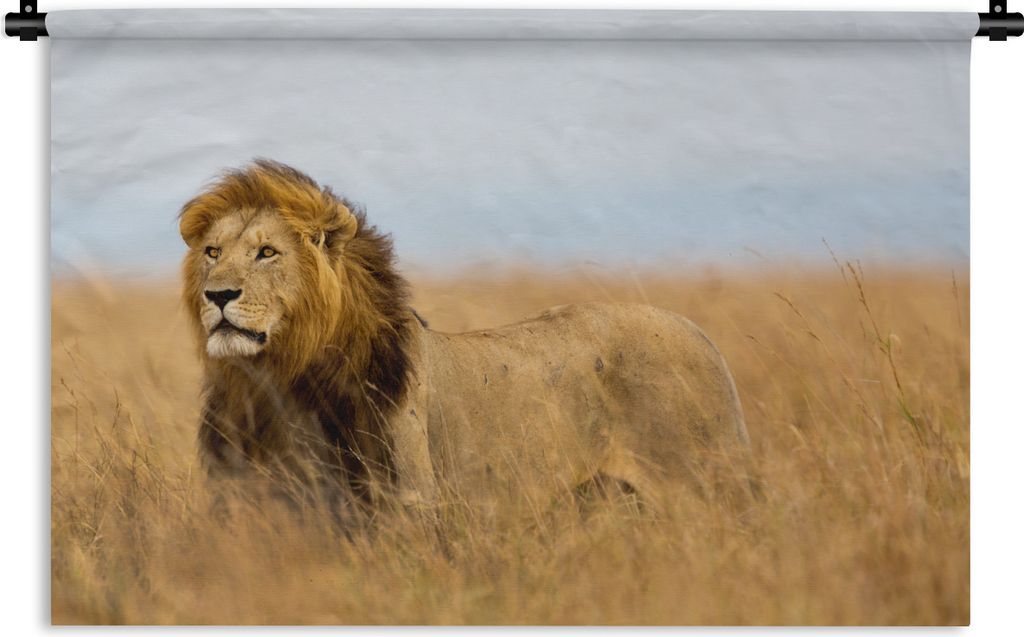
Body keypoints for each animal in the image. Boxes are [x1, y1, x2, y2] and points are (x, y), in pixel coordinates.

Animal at [179, 160, 751, 513]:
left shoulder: (407, 502)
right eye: (212, 252)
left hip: (705, 489)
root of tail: (702, 335)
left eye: (266, 252)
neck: (277, 380)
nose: (218, 295)